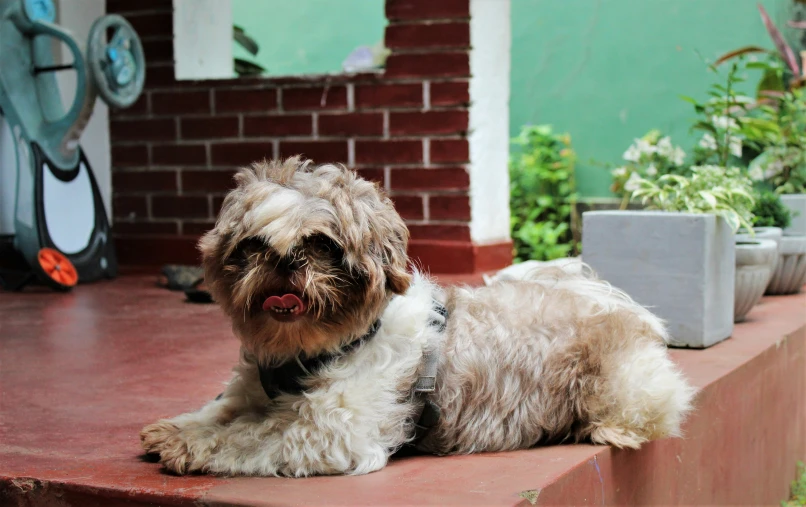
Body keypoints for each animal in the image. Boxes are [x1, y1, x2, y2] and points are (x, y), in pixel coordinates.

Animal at [142, 158, 696, 476]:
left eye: (322, 245)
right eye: (253, 246)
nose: (284, 260)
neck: (306, 354)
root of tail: (610, 297)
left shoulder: (331, 433)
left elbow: (251, 435)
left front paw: (189, 446)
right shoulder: (249, 391)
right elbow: (220, 411)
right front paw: (177, 428)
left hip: (625, 386)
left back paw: (605, 430)